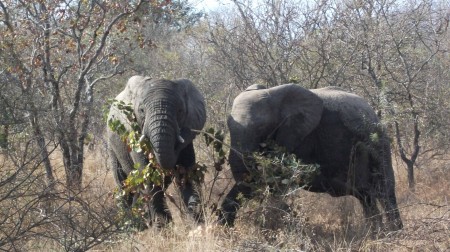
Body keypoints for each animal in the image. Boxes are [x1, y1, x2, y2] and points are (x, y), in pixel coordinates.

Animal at [107, 76, 207, 226]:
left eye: (180, 111)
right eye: (141, 110)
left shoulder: (188, 136)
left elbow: (187, 173)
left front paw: (197, 222)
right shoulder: (133, 134)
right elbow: (148, 175)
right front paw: (163, 227)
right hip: (113, 144)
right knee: (123, 184)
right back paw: (132, 223)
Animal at [222, 82, 404, 230]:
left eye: (262, 128)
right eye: (228, 125)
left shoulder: (299, 137)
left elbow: (272, 179)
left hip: (378, 143)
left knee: (384, 190)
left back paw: (393, 233)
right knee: (366, 196)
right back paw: (375, 233)